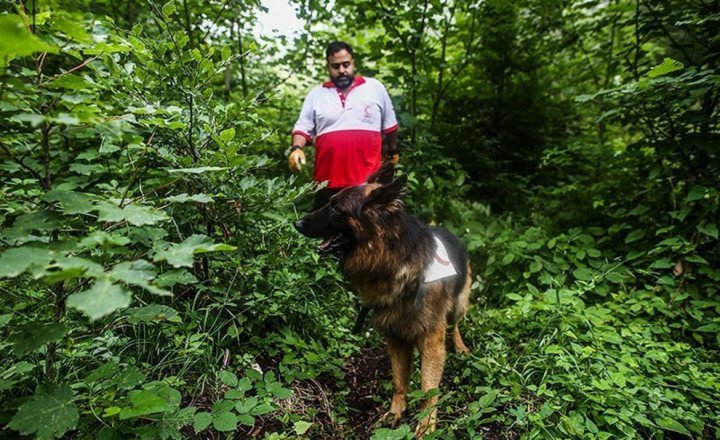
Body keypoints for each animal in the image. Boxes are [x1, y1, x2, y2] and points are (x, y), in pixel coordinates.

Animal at [294, 163, 472, 434]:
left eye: (336, 207)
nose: (297, 222)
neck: (394, 260)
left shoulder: (432, 339)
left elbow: (428, 389)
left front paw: (426, 426)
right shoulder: (395, 336)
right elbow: (399, 381)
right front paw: (395, 413)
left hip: (458, 306)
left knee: (455, 325)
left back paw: (461, 347)